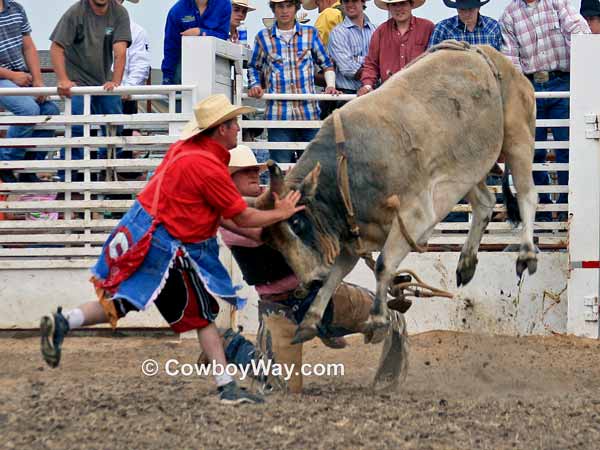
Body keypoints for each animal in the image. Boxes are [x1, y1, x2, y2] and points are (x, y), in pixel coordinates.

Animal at [255, 42, 536, 348]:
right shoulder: (351, 237)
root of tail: (485, 53)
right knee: (485, 203)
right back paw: (466, 263)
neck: (346, 169)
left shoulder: (414, 218)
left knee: (527, 196)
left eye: (297, 222)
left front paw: (377, 319)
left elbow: (383, 265)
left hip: (518, 138)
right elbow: (336, 276)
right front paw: (310, 320)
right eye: (271, 242)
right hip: (466, 171)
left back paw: (526, 254)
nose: (309, 283)